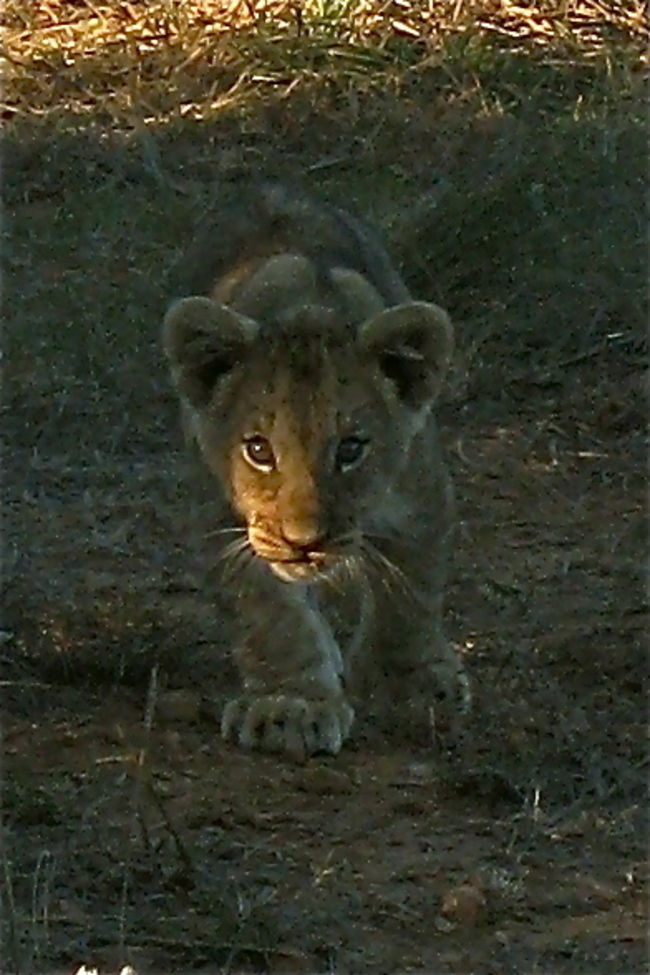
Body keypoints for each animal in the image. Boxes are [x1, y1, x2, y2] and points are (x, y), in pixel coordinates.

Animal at [163, 180, 470, 760]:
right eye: (258, 450)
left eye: (350, 449)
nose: (303, 542)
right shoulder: (219, 514)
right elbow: (272, 616)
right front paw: (292, 706)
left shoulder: (420, 490)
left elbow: (413, 587)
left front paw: (409, 680)